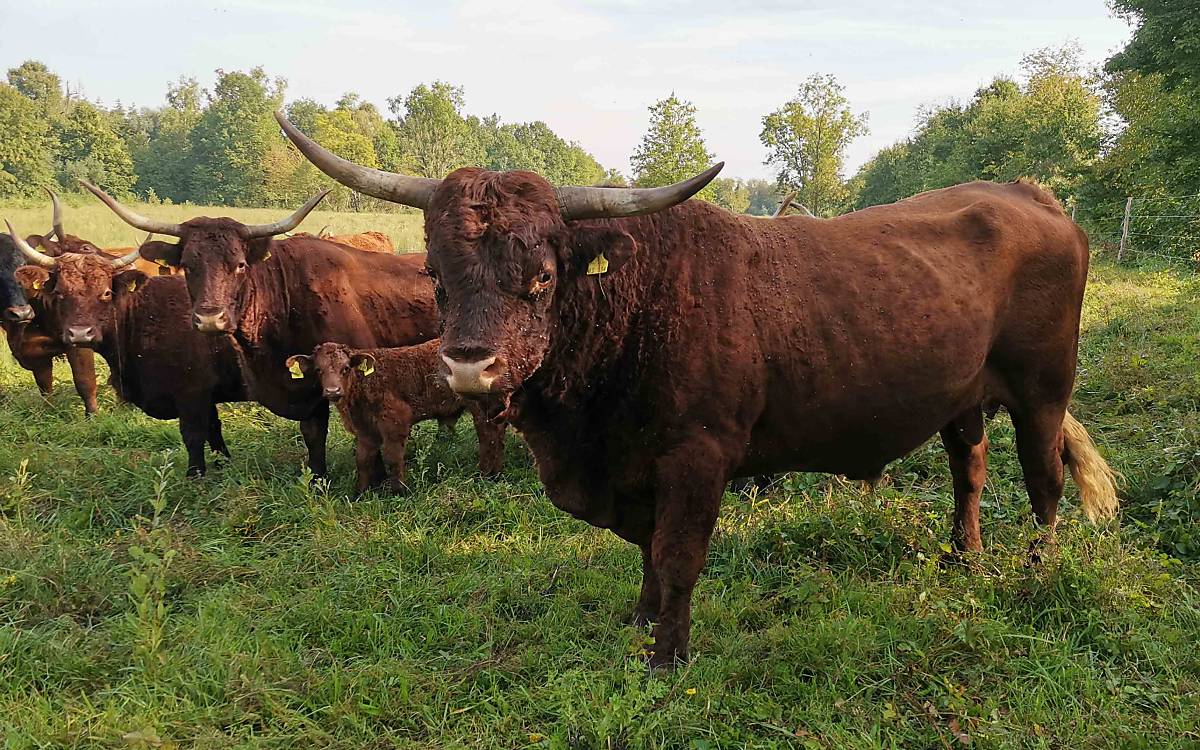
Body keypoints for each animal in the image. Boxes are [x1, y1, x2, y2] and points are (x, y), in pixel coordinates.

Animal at [83, 181, 441, 472]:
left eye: (240, 264)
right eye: (187, 265)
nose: (209, 318)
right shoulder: (308, 385)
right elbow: (313, 435)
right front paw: (317, 479)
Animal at [286, 338, 506, 492]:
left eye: (345, 368)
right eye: (318, 370)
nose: (333, 391)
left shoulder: (395, 423)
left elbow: (393, 457)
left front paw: (399, 490)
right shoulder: (365, 430)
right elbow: (363, 460)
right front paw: (360, 492)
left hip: (480, 408)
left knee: (488, 437)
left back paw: (484, 475)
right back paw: (496, 472)